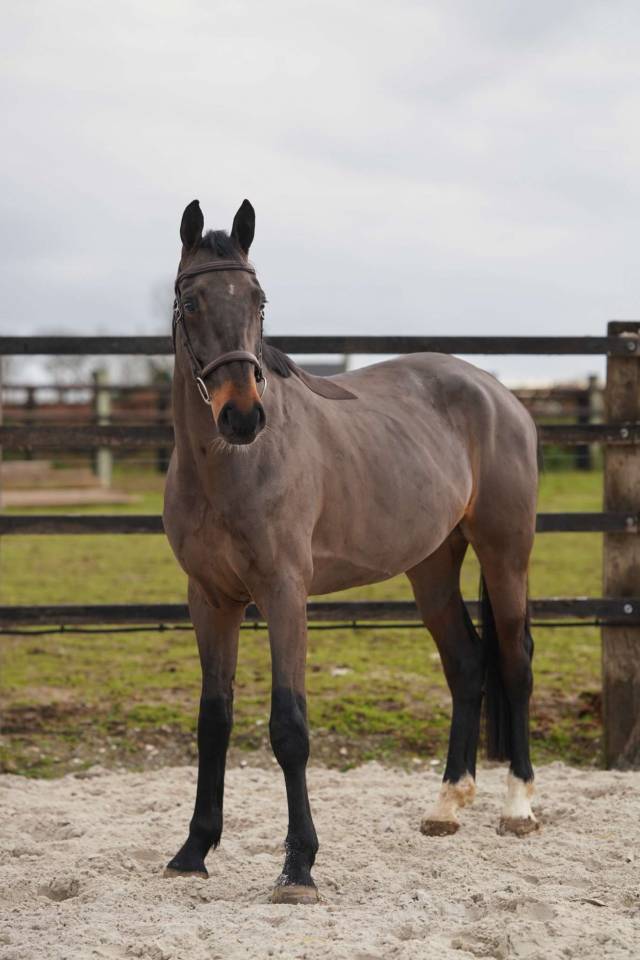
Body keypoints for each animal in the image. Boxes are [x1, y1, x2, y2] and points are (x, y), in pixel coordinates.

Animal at [162, 198, 539, 904]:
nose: (242, 417)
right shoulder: (211, 599)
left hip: (507, 552)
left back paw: (519, 806)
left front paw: (299, 867)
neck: (228, 467)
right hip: (432, 566)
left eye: (258, 298)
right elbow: (213, 720)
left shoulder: (284, 593)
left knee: (516, 660)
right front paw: (194, 849)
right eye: (191, 301)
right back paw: (447, 805)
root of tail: (498, 394)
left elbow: (288, 727)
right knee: (468, 664)